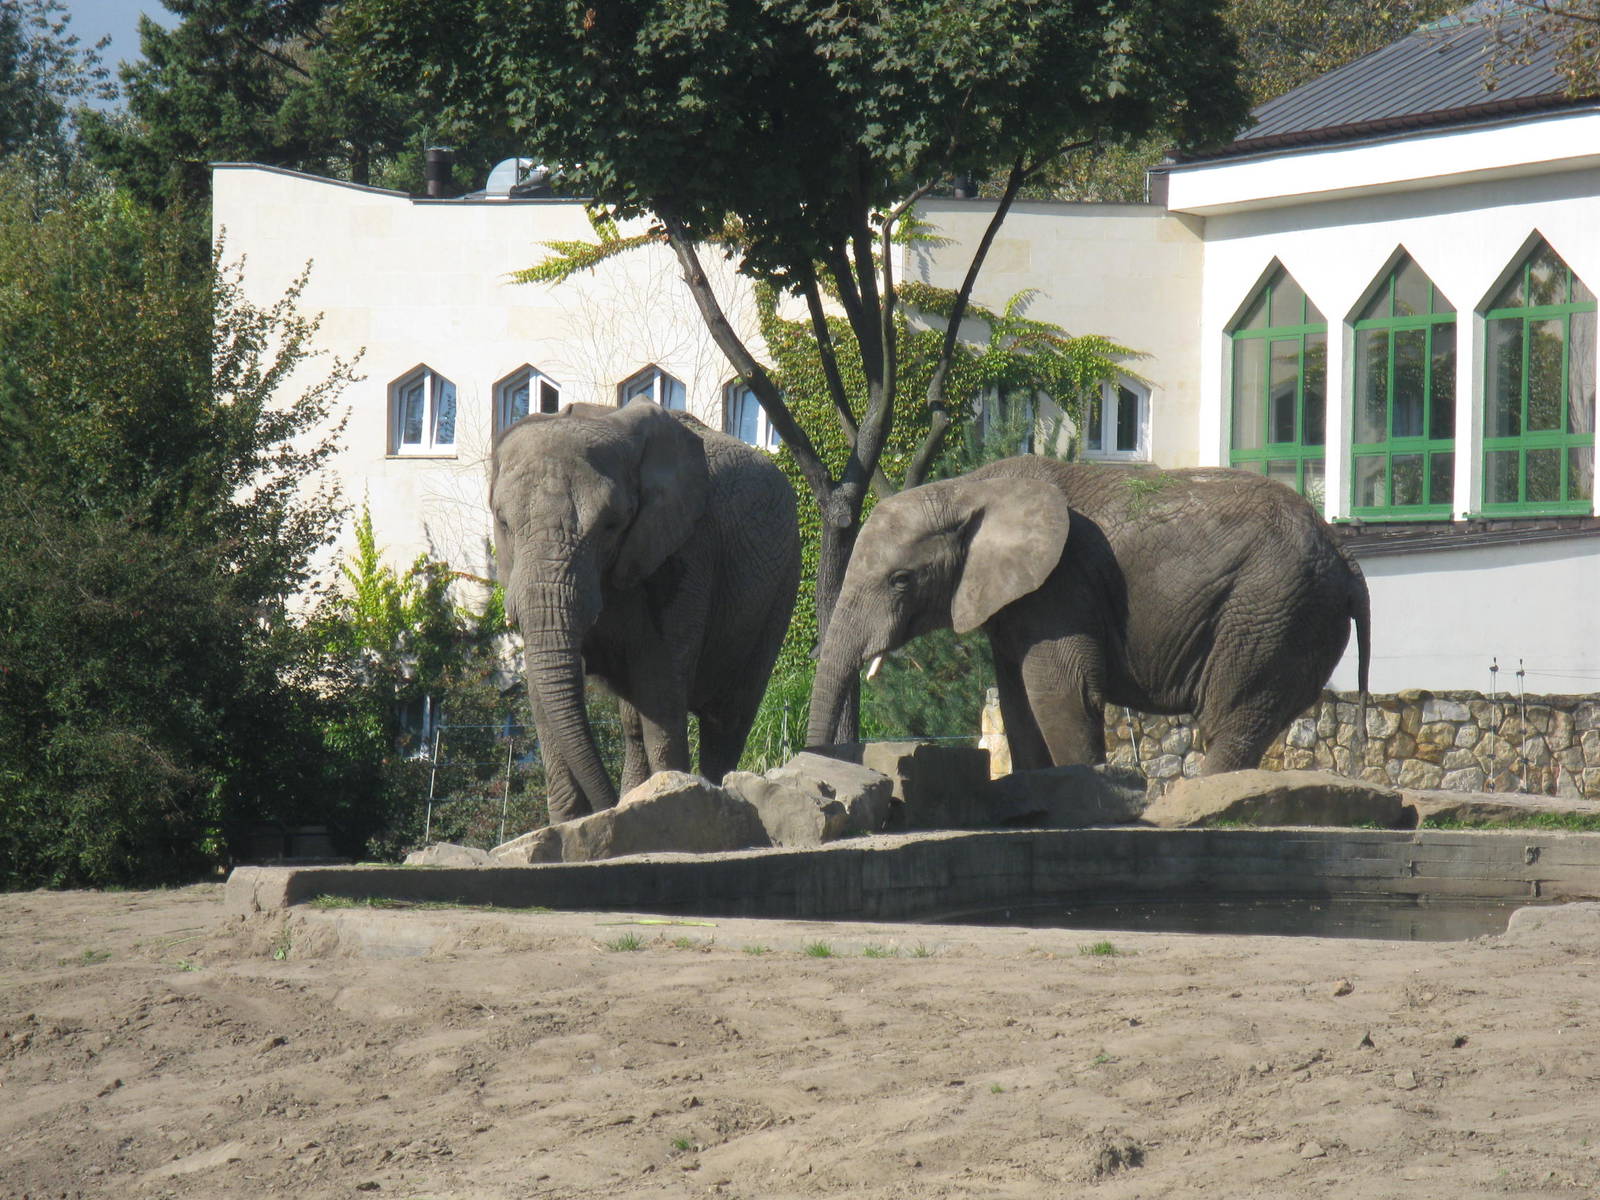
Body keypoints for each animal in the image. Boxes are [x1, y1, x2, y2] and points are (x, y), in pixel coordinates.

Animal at [491, 399, 799, 822]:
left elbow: (661, 681)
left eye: (611, 525)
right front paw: (568, 825)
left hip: (781, 585)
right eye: (503, 522)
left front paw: (674, 802)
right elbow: (541, 694)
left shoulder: (689, 549)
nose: (601, 809)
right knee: (634, 721)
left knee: (728, 715)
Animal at [807, 455, 1370, 774]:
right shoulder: (1016, 601)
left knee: (1229, 719)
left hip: (1270, 611)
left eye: (901, 580)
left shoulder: (1062, 583)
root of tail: (1348, 558)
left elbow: (1061, 691)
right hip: (1294, 617)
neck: (970, 488)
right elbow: (1017, 703)